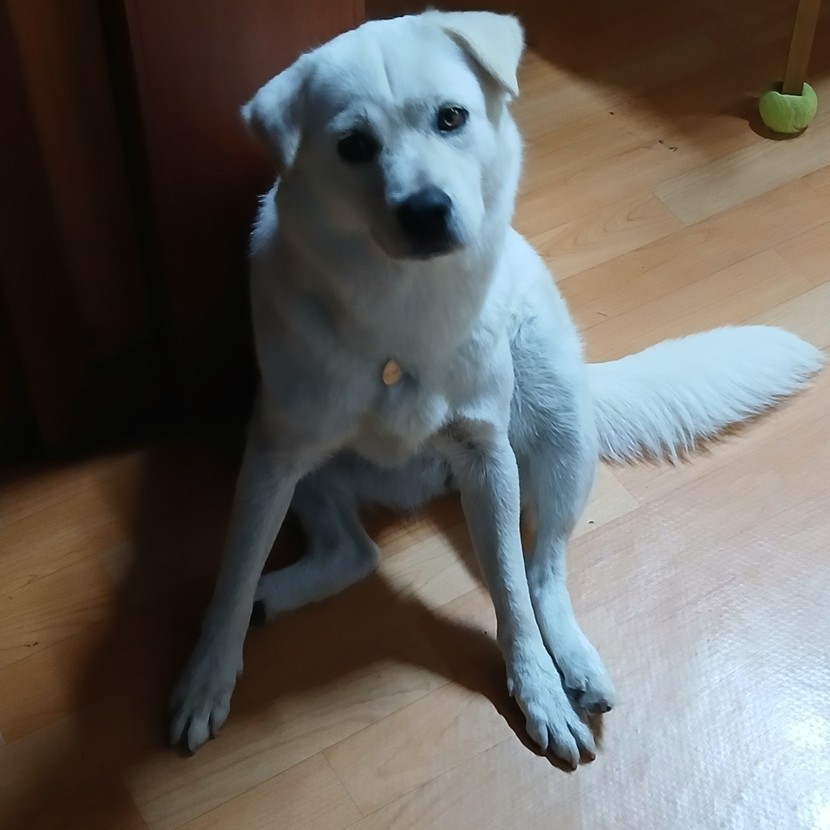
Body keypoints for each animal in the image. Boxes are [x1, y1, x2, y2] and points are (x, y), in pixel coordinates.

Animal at [168, 10, 824, 767]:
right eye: (354, 146)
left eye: (451, 117)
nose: (427, 210)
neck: (405, 307)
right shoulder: (273, 459)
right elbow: (234, 571)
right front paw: (207, 675)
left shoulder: (486, 456)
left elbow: (511, 592)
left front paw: (537, 687)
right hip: (304, 465)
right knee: (355, 553)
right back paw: (271, 599)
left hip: (558, 434)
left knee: (542, 569)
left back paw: (574, 660)